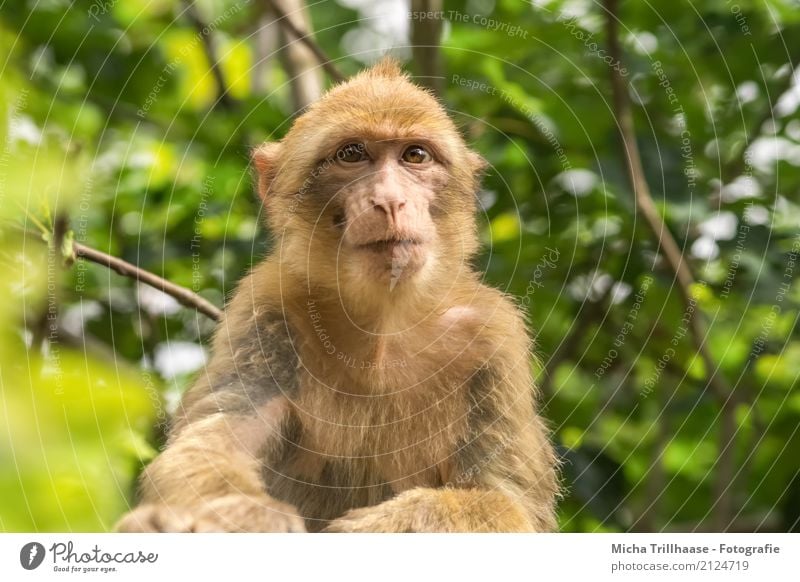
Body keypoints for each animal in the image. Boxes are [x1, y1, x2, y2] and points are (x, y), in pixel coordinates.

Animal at [115, 58, 560, 532]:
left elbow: (509, 503)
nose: (390, 201)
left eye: (415, 156)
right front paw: (250, 515)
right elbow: (212, 441)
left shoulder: (493, 340)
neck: (383, 322)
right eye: (352, 154)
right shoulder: (265, 314)